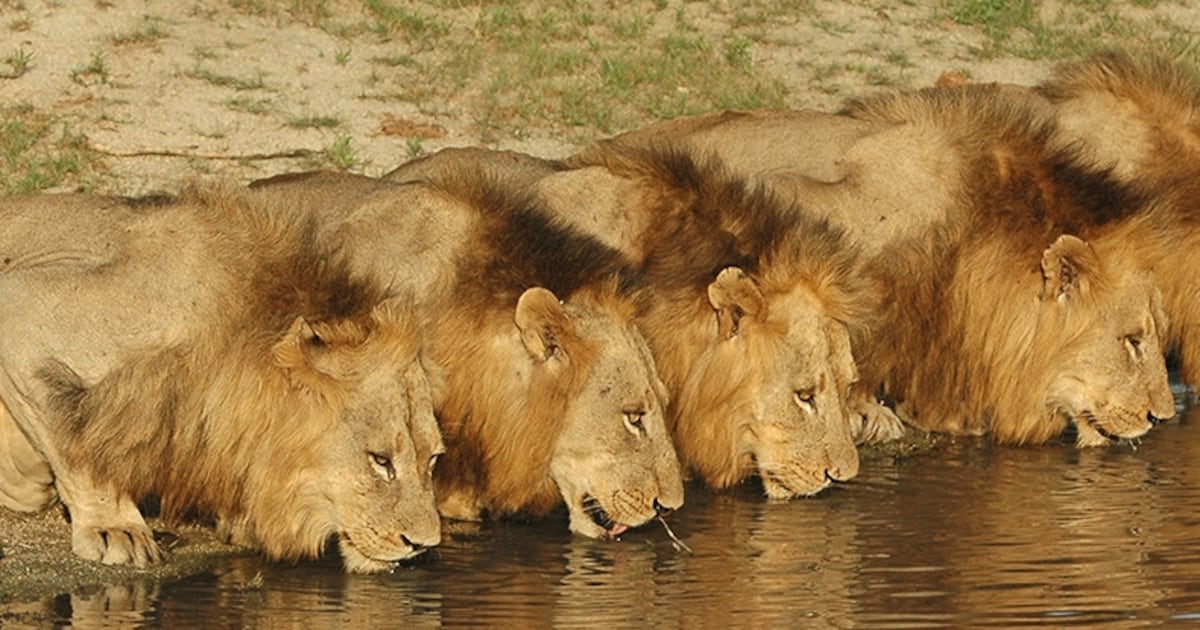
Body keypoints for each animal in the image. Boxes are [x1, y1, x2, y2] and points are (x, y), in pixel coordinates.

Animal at [0, 185, 444, 572]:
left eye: (434, 458)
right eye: (380, 460)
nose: (423, 545)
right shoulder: (21, 305)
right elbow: (78, 443)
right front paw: (116, 528)